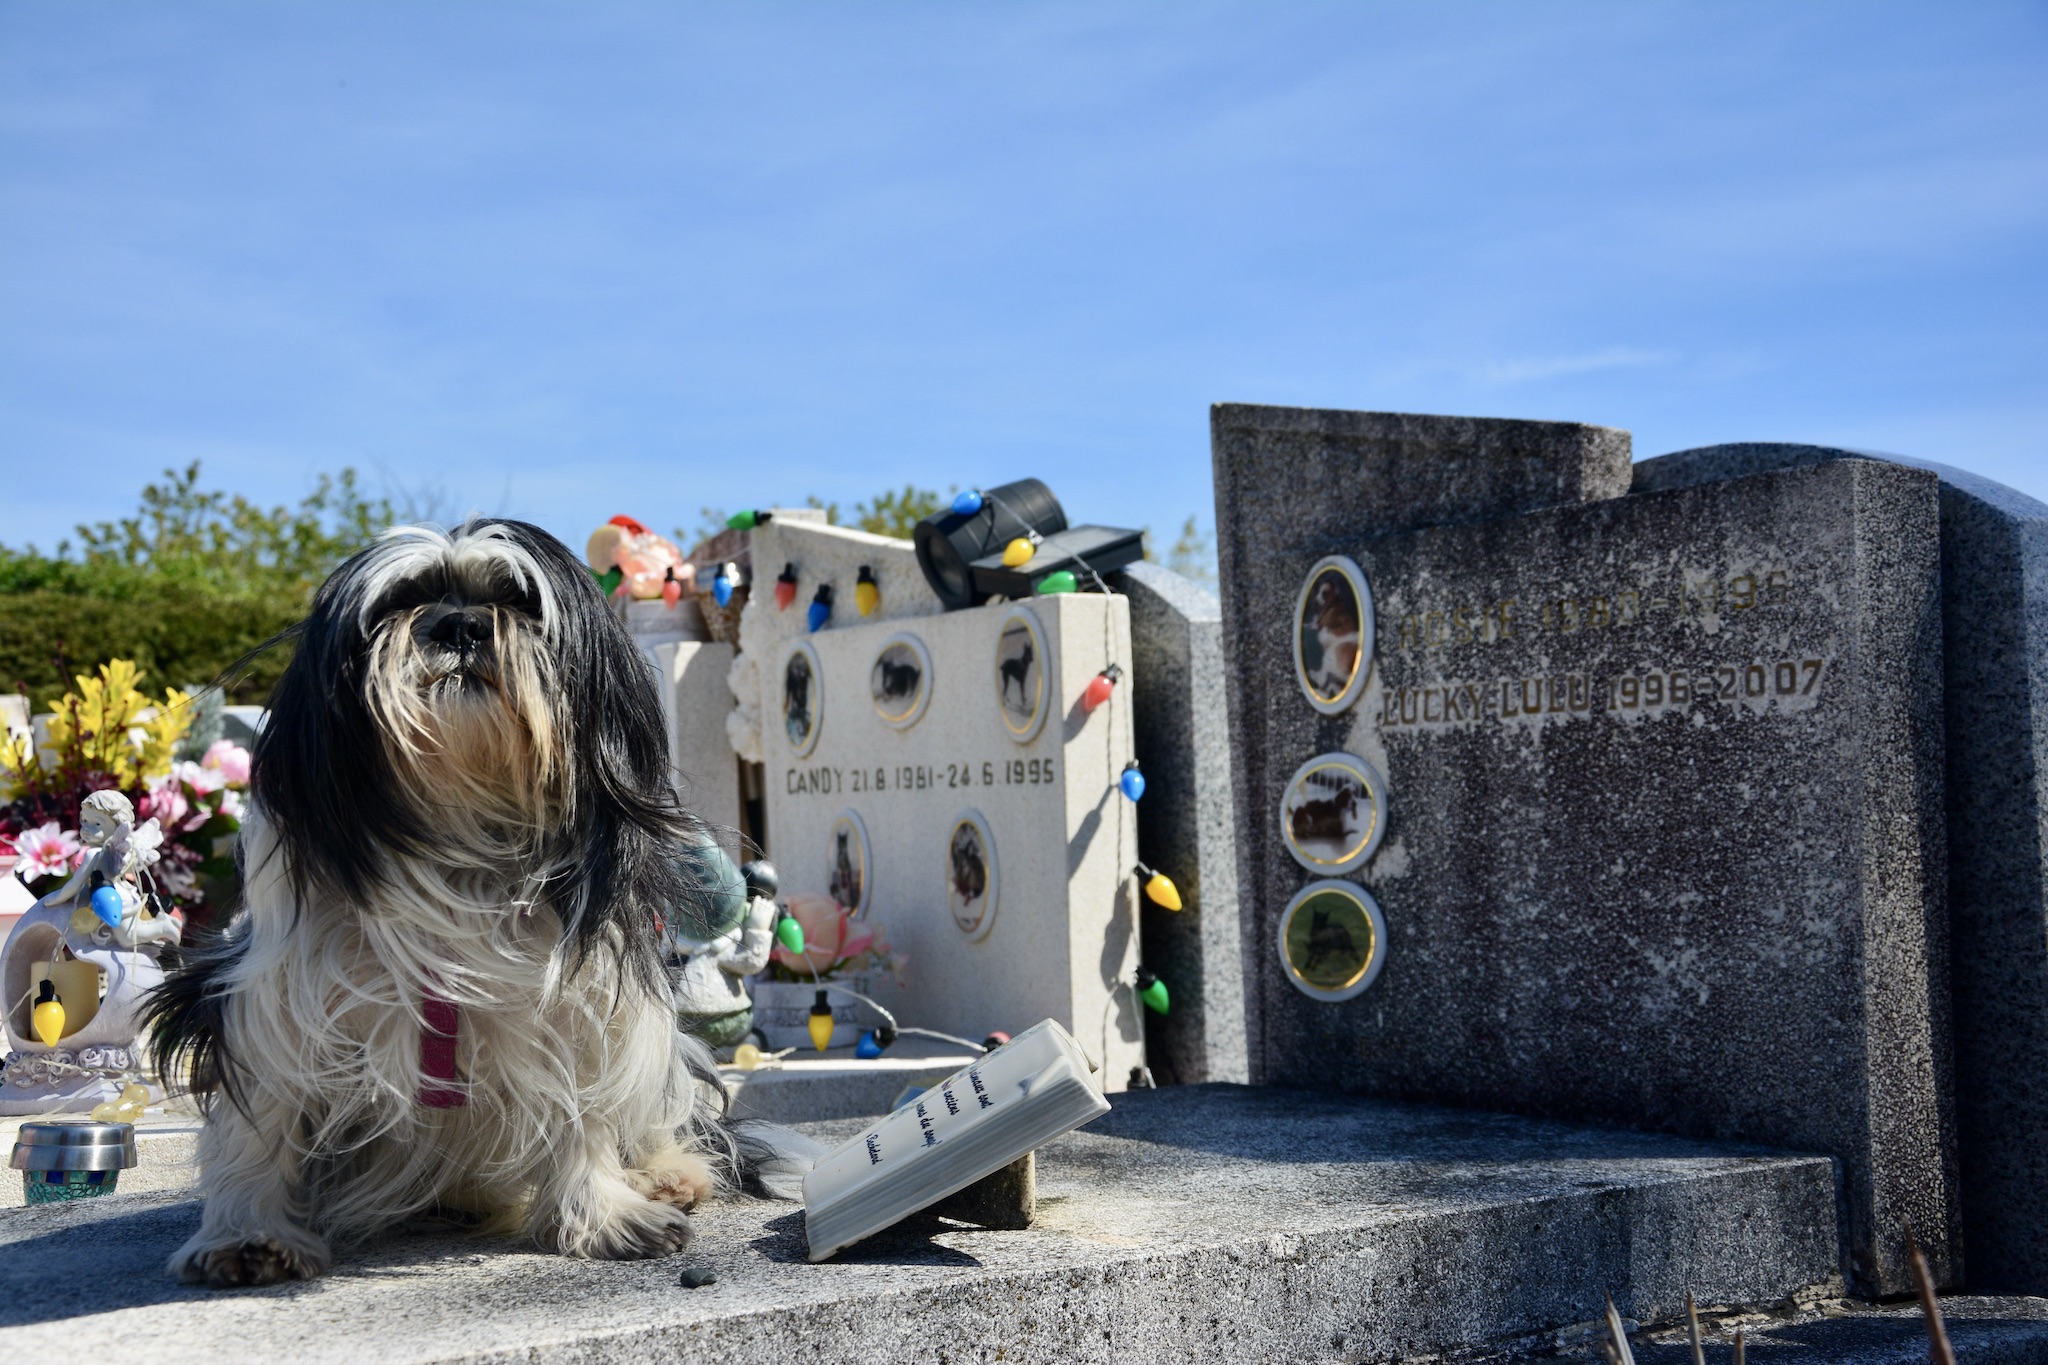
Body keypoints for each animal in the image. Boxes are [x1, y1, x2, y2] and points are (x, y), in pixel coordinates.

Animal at [149, 517, 782, 1285]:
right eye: (397, 604)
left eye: (519, 601)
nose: (460, 624)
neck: (461, 823)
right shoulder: (269, 996)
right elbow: (260, 1121)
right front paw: (248, 1231)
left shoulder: (582, 1005)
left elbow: (584, 1110)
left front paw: (600, 1213)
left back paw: (665, 1173)